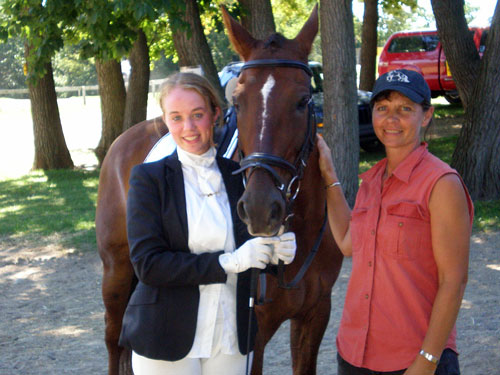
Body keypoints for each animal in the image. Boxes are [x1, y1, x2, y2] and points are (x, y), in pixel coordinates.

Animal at [95, 4, 342, 374]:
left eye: (302, 101)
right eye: (237, 102)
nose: (259, 209)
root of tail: (126, 137)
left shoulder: (314, 316)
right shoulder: (254, 334)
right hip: (116, 272)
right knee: (114, 340)